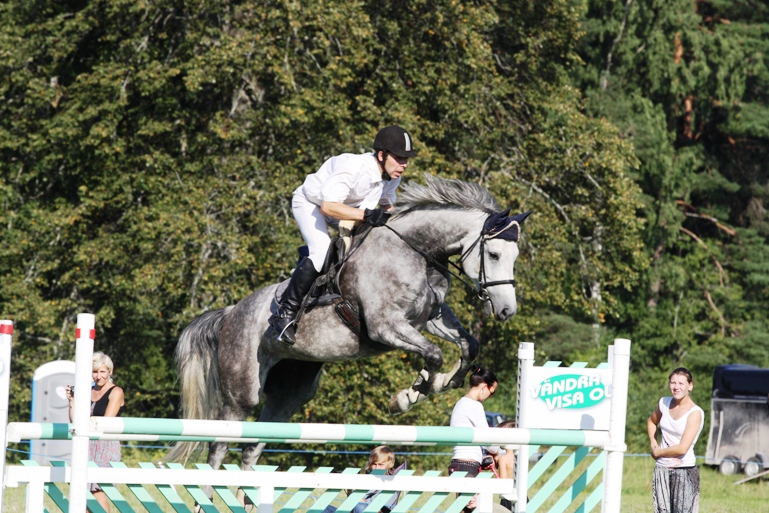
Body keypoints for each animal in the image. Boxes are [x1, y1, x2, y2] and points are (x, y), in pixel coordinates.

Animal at [166, 173, 528, 476]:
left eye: (515, 256)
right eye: (494, 255)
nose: (506, 310)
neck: (413, 252)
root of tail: (230, 313)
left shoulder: (431, 318)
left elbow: (467, 345)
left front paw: (436, 384)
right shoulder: (386, 327)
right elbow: (434, 354)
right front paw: (409, 396)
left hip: (289, 397)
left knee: (252, 448)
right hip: (241, 395)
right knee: (219, 448)